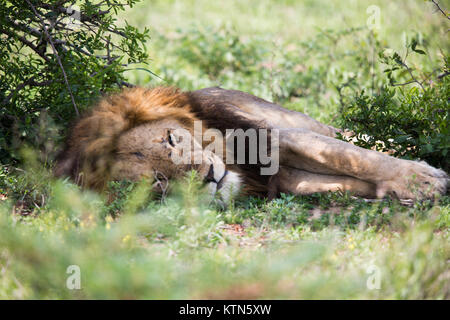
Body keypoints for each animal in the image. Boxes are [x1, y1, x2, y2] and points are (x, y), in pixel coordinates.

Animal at [54, 86, 448, 204]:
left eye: (171, 139)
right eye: (158, 182)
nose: (209, 177)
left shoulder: (276, 137)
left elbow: (353, 157)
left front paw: (425, 180)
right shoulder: (284, 179)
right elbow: (341, 178)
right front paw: (398, 189)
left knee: (350, 137)